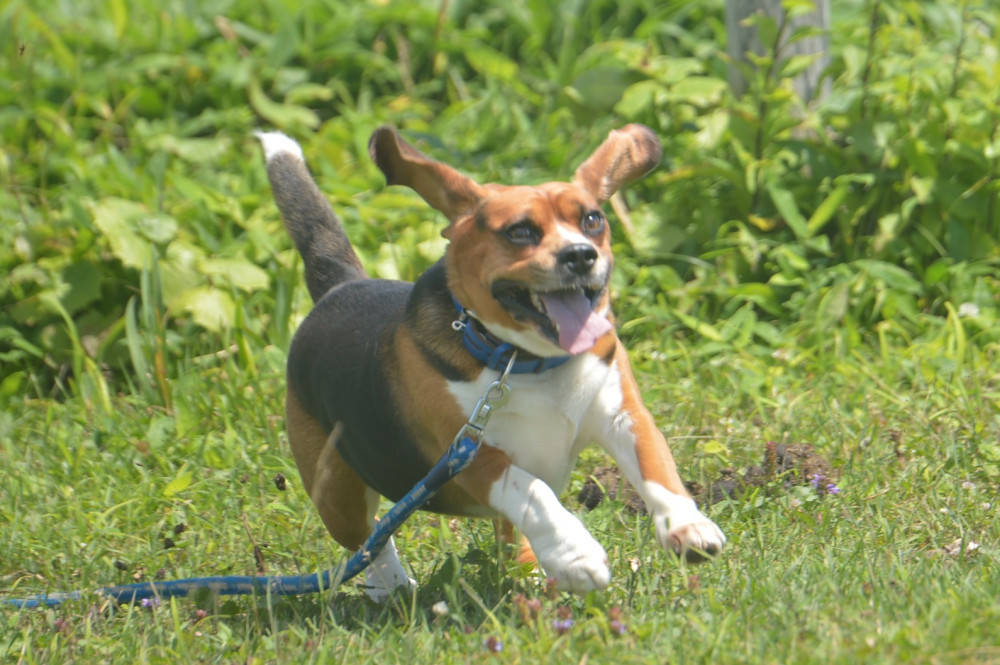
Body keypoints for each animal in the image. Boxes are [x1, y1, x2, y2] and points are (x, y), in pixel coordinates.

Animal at [256, 124, 728, 600]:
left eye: (592, 220)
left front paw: (687, 527)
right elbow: (533, 493)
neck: (531, 362)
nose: (580, 255)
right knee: (369, 540)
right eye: (519, 232)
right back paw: (393, 586)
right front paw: (577, 556)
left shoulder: (624, 415)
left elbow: (656, 468)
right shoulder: (471, 455)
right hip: (336, 491)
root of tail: (342, 287)